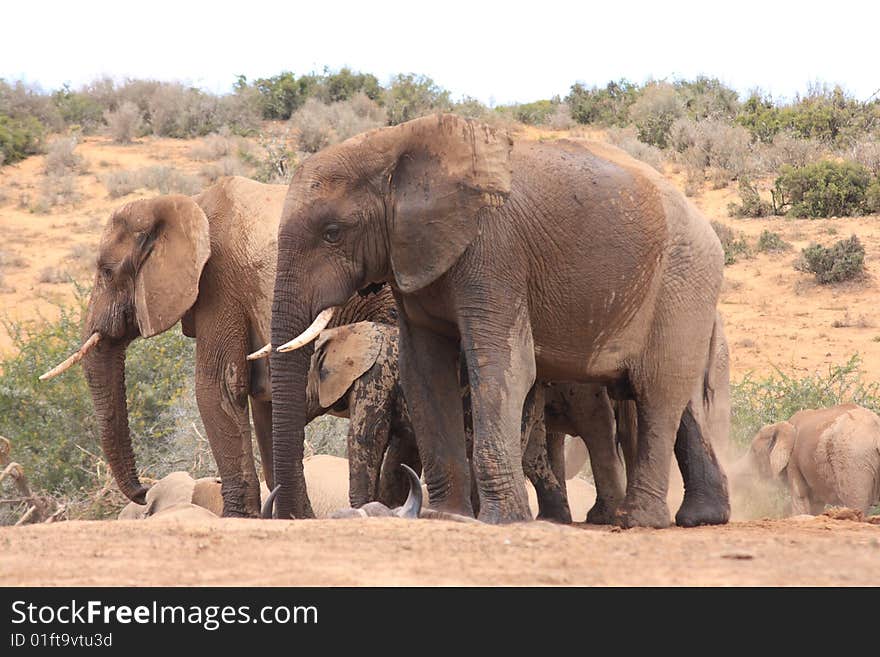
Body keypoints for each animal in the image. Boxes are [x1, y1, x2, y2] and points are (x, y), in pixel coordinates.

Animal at [43, 176, 396, 516]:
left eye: (106, 271)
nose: (143, 491)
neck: (185, 204)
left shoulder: (220, 282)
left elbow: (217, 387)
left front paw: (239, 517)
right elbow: (261, 400)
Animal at [266, 113, 728, 528]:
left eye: (332, 233)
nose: (294, 516)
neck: (395, 143)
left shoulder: (494, 252)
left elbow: (502, 366)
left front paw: (500, 520)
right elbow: (425, 373)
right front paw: (447, 516)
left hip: (682, 281)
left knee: (657, 393)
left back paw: (639, 521)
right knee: (681, 398)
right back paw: (702, 518)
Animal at [732, 402, 880, 516]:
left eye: (754, 451)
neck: (784, 425)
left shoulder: (793, 462)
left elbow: (800, 497)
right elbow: (815, 505)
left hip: (853, 462)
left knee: (856, 502)